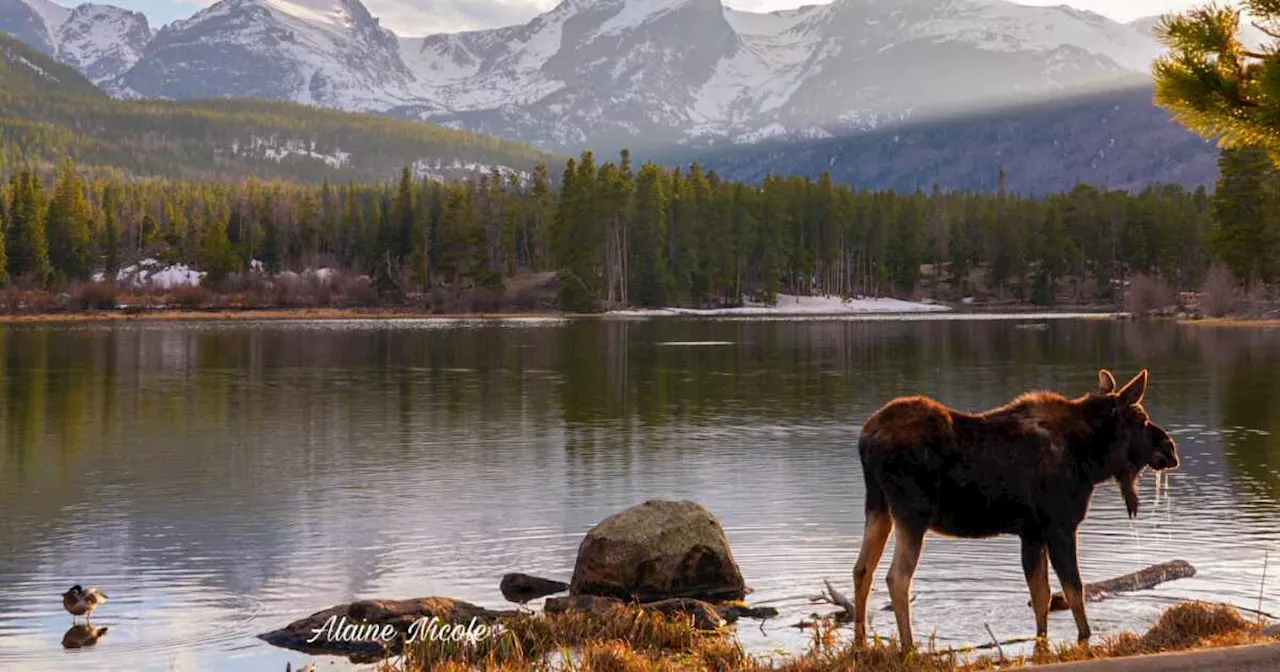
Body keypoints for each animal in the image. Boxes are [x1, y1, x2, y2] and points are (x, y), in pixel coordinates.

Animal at [849, 368, 1177, 647]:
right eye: (1141, 418)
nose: (1170, 448)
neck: (1092, 460)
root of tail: (866, 440)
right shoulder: (1060, 525)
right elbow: (1074, 590)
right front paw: (1085, 636)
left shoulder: (1031, 533)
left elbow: (1041, 595)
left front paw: (1042, 639)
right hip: (912, 514)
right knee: (897, 577)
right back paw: (908, 646)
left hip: (877, 507)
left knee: (862, 569)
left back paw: (860, 643)